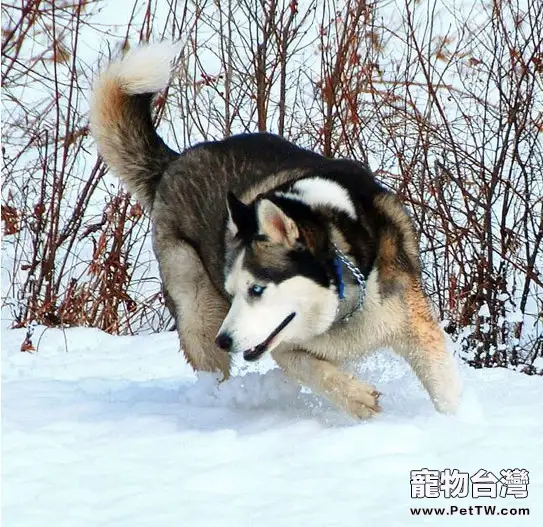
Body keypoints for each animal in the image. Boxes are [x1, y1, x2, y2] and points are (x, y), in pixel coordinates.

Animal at [91, 43, 462, 418]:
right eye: (233, 291)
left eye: (256, 289)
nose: (225, 340)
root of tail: (176, 161)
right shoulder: (284, 345)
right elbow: (316, 371)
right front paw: (356, 397)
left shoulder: (413, 326)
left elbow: (444, 389)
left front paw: (454, 422)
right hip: (196, 302)